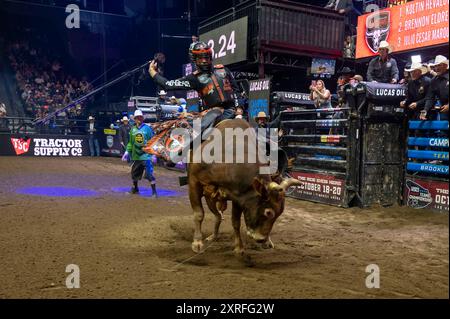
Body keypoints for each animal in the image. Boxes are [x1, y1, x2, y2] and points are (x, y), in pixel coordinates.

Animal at [186, 119, 302, 256]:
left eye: (279, 213)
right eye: (268, 212)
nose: (261, 239)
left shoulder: (238, 196)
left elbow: (235, 222)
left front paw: (239, 247)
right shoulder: (194, 183)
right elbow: (199, 214)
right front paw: (197, 243)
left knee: (218, 215)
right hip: (210, 197)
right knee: (217, 215)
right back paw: (213, 236)